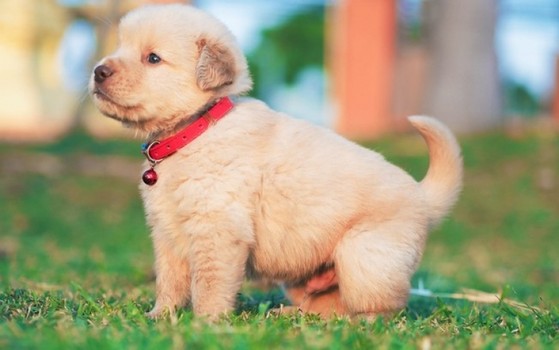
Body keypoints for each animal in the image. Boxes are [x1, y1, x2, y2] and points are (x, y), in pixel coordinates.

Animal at [89, 3, 462, 320]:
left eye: (153, 58)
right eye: (120, 47)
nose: (98, 71)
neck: (194, 131)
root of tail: (422, 196)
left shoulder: (218, 230)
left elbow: (208, 283)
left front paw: (205, 323)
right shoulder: (167, 233)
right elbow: (168, 282)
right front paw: (159, 317)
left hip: (364, 259)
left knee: (377, 309)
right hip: (306, 276)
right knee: (329, 306)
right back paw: (291, 315)